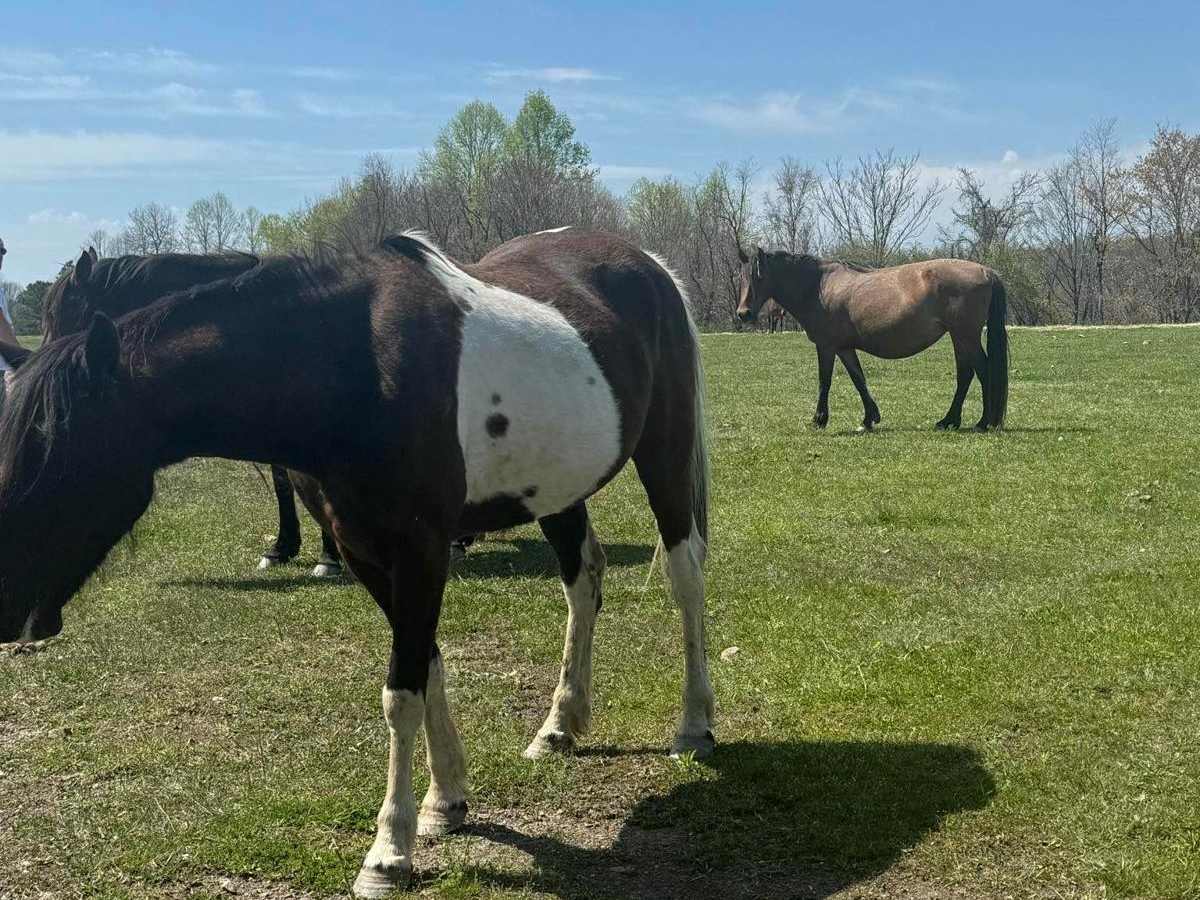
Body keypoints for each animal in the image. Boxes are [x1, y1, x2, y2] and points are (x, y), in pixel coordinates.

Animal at [735, 247, 1008, 432]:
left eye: (759, 276)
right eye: (741, 278)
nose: (743, 313)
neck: (819, 288)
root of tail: (987, 271)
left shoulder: (826, 346)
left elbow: (825, 382)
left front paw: (819, 419)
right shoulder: (844, 348)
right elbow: (859, 380)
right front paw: (869, 419)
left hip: (965, 335)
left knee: (982, 370)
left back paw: (983, 422)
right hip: (959, 337)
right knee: (966, 374)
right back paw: (949, 420)